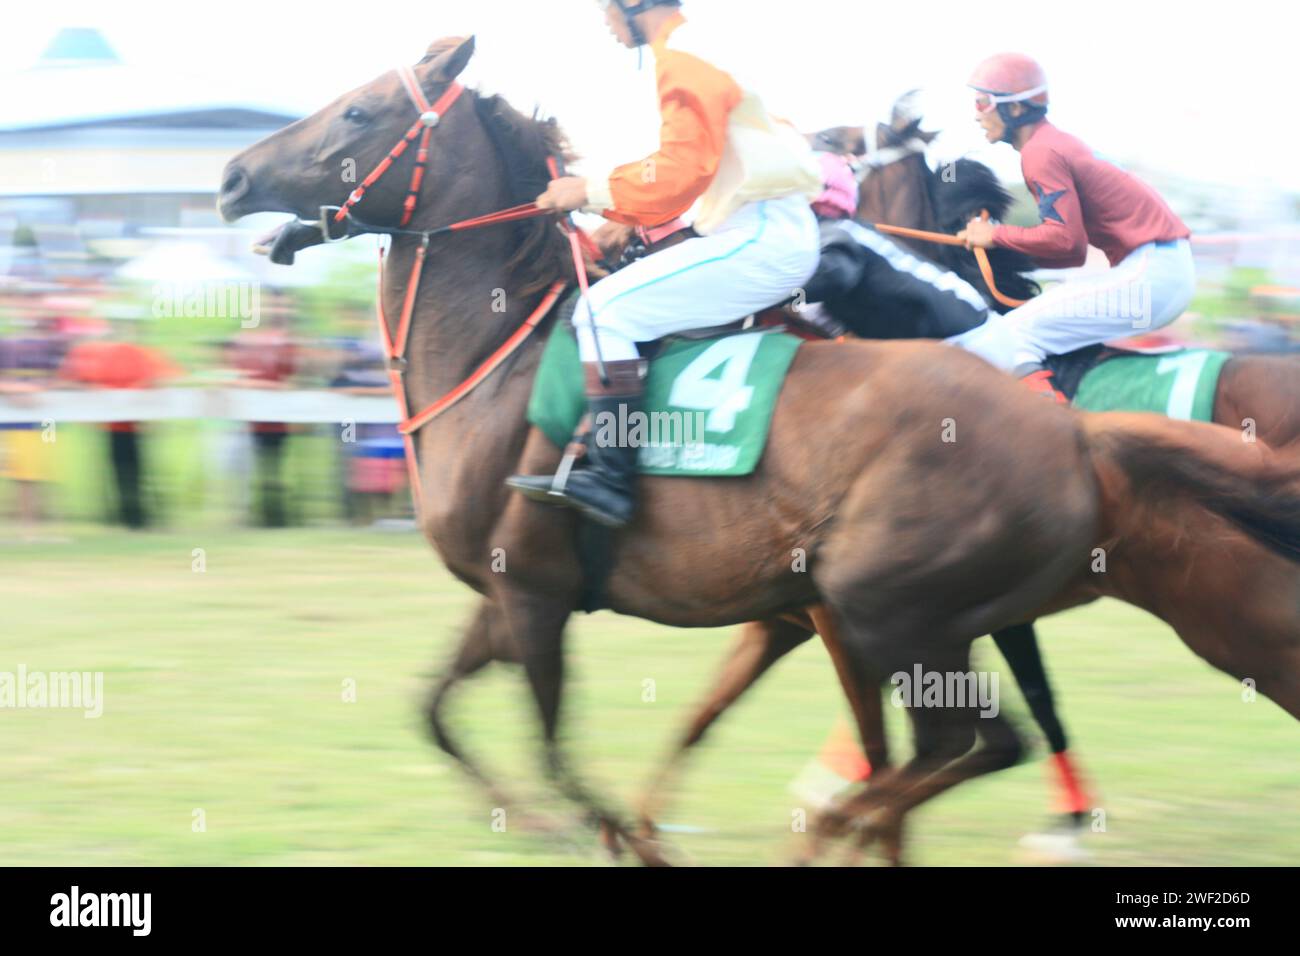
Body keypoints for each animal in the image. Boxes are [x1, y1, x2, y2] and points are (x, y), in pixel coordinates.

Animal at [223, 37, 1300, 863]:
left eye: (360, 113)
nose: (231, 178)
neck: (500, 356)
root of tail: (1073, 427)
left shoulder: (542, 592)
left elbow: (563, 755)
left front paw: (622, 833)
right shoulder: (517, 596)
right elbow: (441, 714)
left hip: (905, 605)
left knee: (982, 740)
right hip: (930, 614)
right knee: (974, 743)